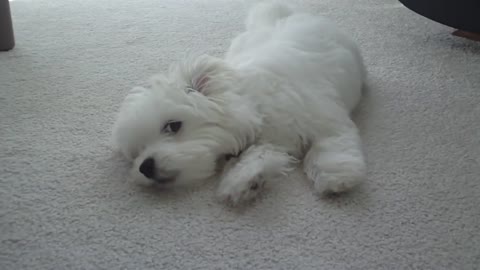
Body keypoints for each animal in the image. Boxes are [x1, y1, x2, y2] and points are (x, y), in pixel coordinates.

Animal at [113, 0, 368, 205]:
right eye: (137, 151)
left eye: (173, 125)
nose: (145, 167)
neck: (256, 105)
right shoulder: (269, 141)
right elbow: (257, 155)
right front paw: (244, 182)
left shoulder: (325, 118)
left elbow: (331, 144)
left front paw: (336, 176)